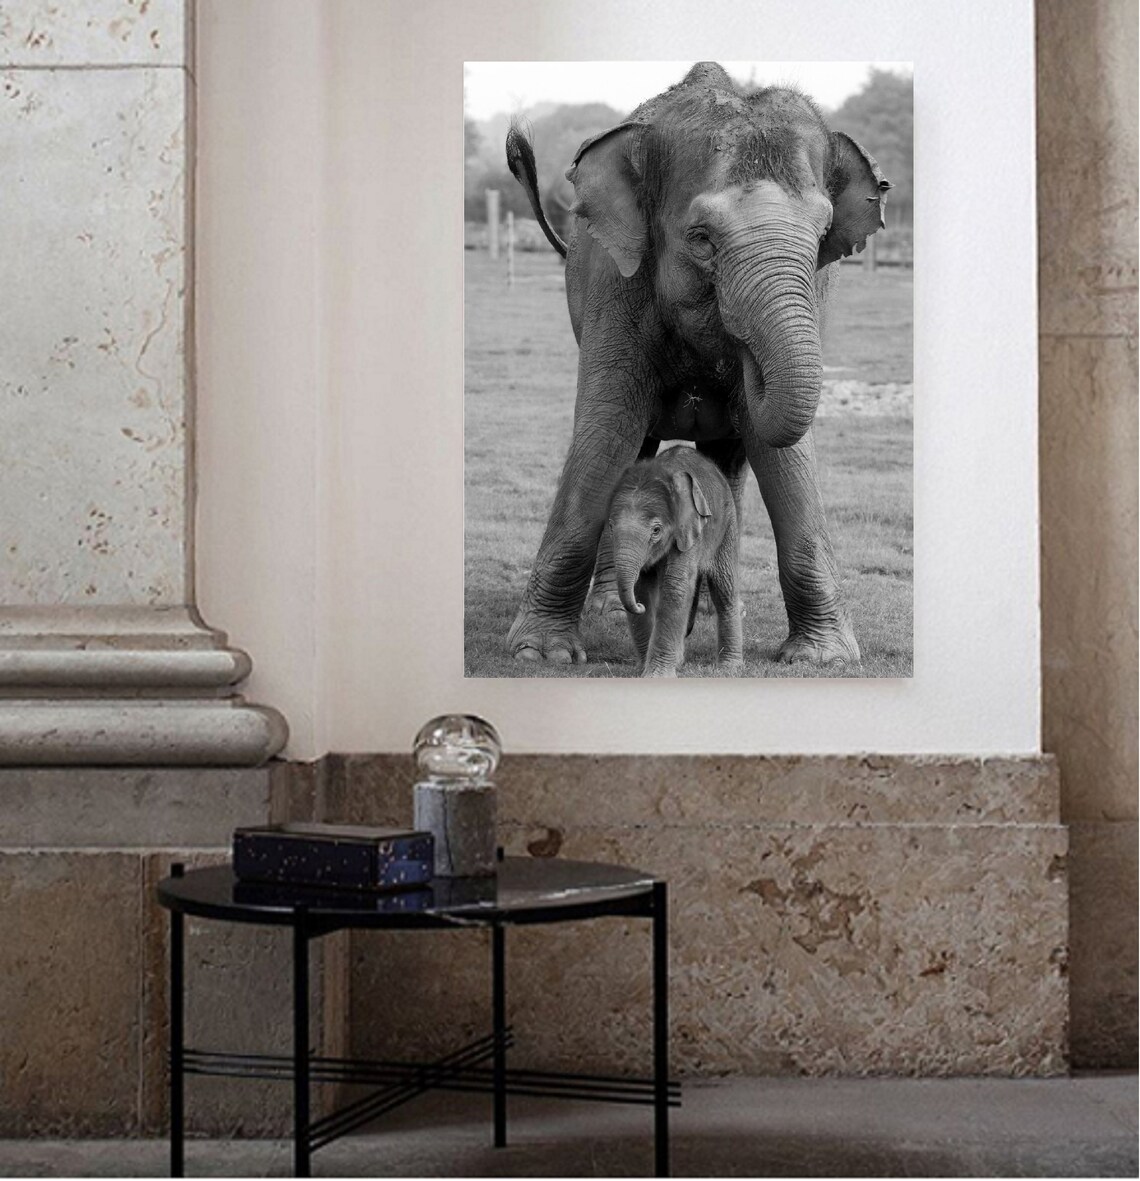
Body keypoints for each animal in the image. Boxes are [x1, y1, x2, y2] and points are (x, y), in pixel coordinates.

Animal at [607, 445, 743, 677]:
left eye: (656, 530)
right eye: (610, 526)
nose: (639, 607)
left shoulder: (688, 531)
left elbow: (675, 587)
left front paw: (656, 676)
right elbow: (641, 587)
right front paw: (644, 669)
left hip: (727, 526)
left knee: (724, 588)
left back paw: (729, 667)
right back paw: (679, 661)